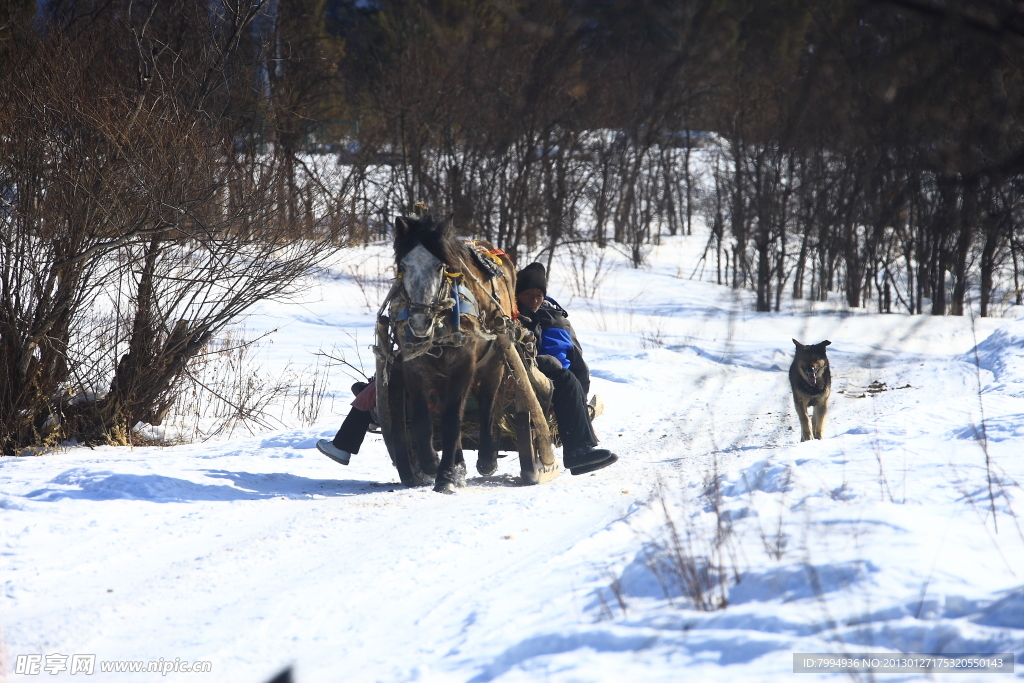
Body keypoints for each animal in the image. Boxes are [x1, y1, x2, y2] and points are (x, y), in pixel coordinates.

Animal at [389, 211, 520, 491]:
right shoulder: (414, 366)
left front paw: (447, 475)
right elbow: (422, 421)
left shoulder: (463, 366)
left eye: (440, 266)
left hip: (494, 362)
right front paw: (432, 464)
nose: (420, 321)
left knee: (488, 404)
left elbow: (452, 420)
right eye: (403, 266)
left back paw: (487, 459)